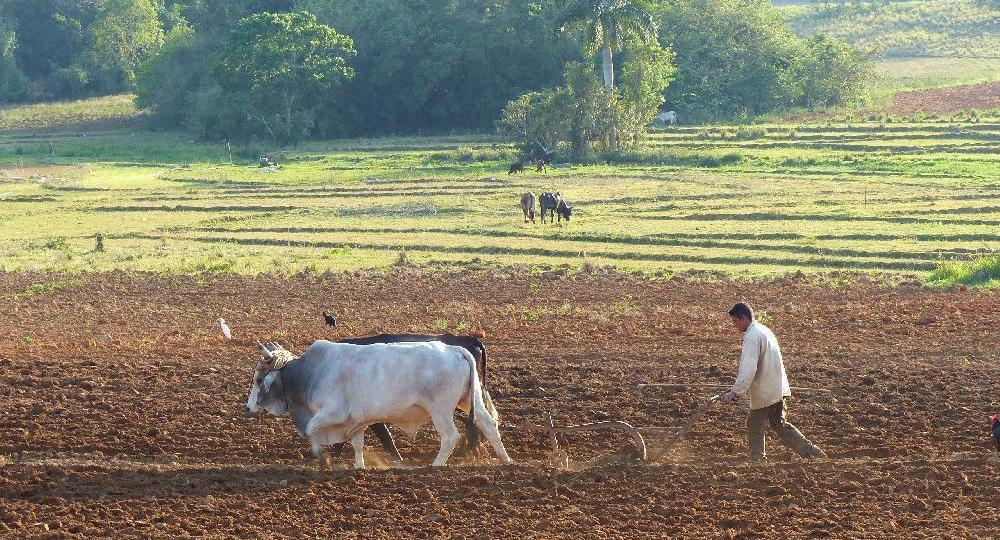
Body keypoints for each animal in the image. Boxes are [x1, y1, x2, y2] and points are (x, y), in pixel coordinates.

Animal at [247, 342, 512, 468]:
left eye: (259, 379)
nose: (248, 407)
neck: (309, 373)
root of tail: (456, 349)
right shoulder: (356, 420)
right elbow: (357, 444)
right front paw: (359, 466)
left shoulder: (332, 413)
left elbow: (312, 430)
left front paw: (323, 457)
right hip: (469, 401)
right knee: (488, 423)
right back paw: (506, 460)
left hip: (441, 410)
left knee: (450, 436)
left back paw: (435, 465)